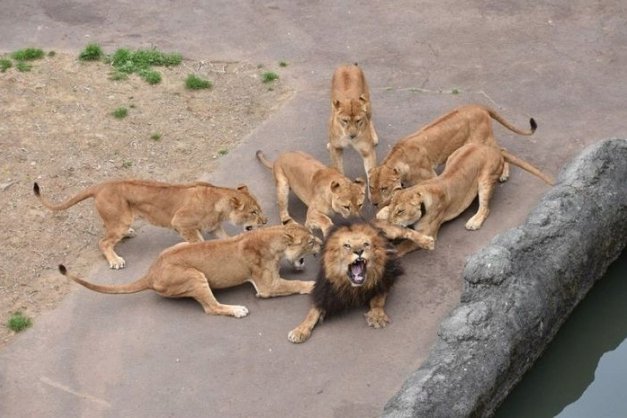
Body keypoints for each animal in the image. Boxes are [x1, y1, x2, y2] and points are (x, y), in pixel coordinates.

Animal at [35, 180, 268, 268]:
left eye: (259, 209)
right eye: (253, 212)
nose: (265, 221)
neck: (218, 203)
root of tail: (101, 185)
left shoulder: (215, 226)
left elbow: (225, 238)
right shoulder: (181, 222)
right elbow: (197, 241)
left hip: (117, 220)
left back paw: (128, 234)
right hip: (120, 220)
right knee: (103, 242)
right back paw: (115, 260)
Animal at [57, 224, 324, 316]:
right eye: (311, 241)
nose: (321, 244)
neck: (273, 238)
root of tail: (151, 272)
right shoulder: (267, 286)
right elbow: (293, 285)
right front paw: (312, 285)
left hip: (184, 244)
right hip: (195, 275)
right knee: (211, 308)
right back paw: (237, 310)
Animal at [368, 104, 540, 207]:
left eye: (384, 188)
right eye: (371, 187)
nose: (374, 204)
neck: (398, 158)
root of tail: (477, 105)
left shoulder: (431, 176)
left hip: (481, 140)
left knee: (502, 151)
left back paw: (504, 175)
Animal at [378, 144, 556, 255]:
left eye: (401, 211)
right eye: (392, 207)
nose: (390, 222)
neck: (424, 193)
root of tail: (491, 147)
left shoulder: (429, 234)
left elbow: (404, 246)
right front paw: (382, 213)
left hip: (485, 179)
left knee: (485, 208)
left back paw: (474, 222)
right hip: (455, 154)